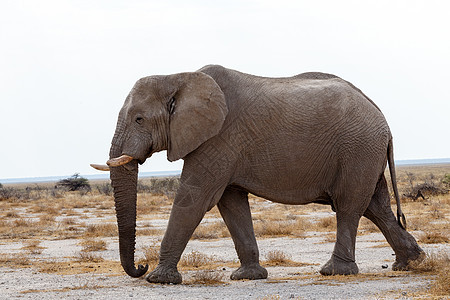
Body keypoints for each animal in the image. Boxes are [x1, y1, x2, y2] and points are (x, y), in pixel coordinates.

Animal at [90, 65, 422, 284]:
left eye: (139, 119)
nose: (141, 267)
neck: (179, 77)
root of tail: (382, 118)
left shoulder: (219, 138)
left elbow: (194, 198)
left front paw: (160, 280)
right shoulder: (225, 147)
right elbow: (231, 203)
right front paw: (248, 277)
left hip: (358, 148)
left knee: (350, 205)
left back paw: (335, 272)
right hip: (364, 151)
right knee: (376, 207)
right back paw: (410, 263)